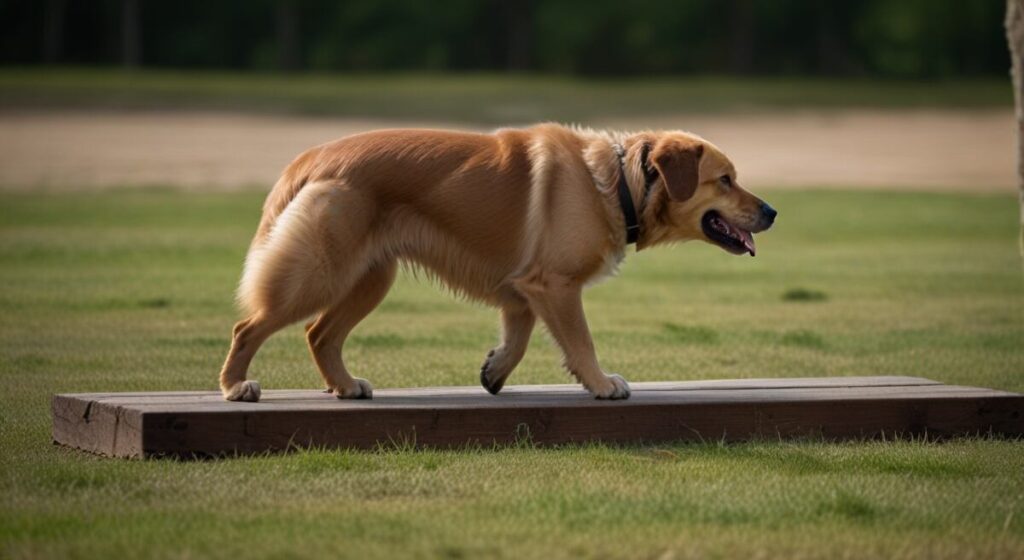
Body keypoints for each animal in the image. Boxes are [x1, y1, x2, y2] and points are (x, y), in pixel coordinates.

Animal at [218, 123, 774, 403]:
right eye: (725, 180)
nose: (772, 211)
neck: (617, 181)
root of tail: (309, 158)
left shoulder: (524, 290)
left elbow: (520, 340)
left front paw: (494, 371)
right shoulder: (555, 286)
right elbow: (581, 342)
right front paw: (601, 384)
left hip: (370, 277)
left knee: (319, 334)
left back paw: (345, 385)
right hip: (320, 273)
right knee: (249, 327)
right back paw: (234, 386)